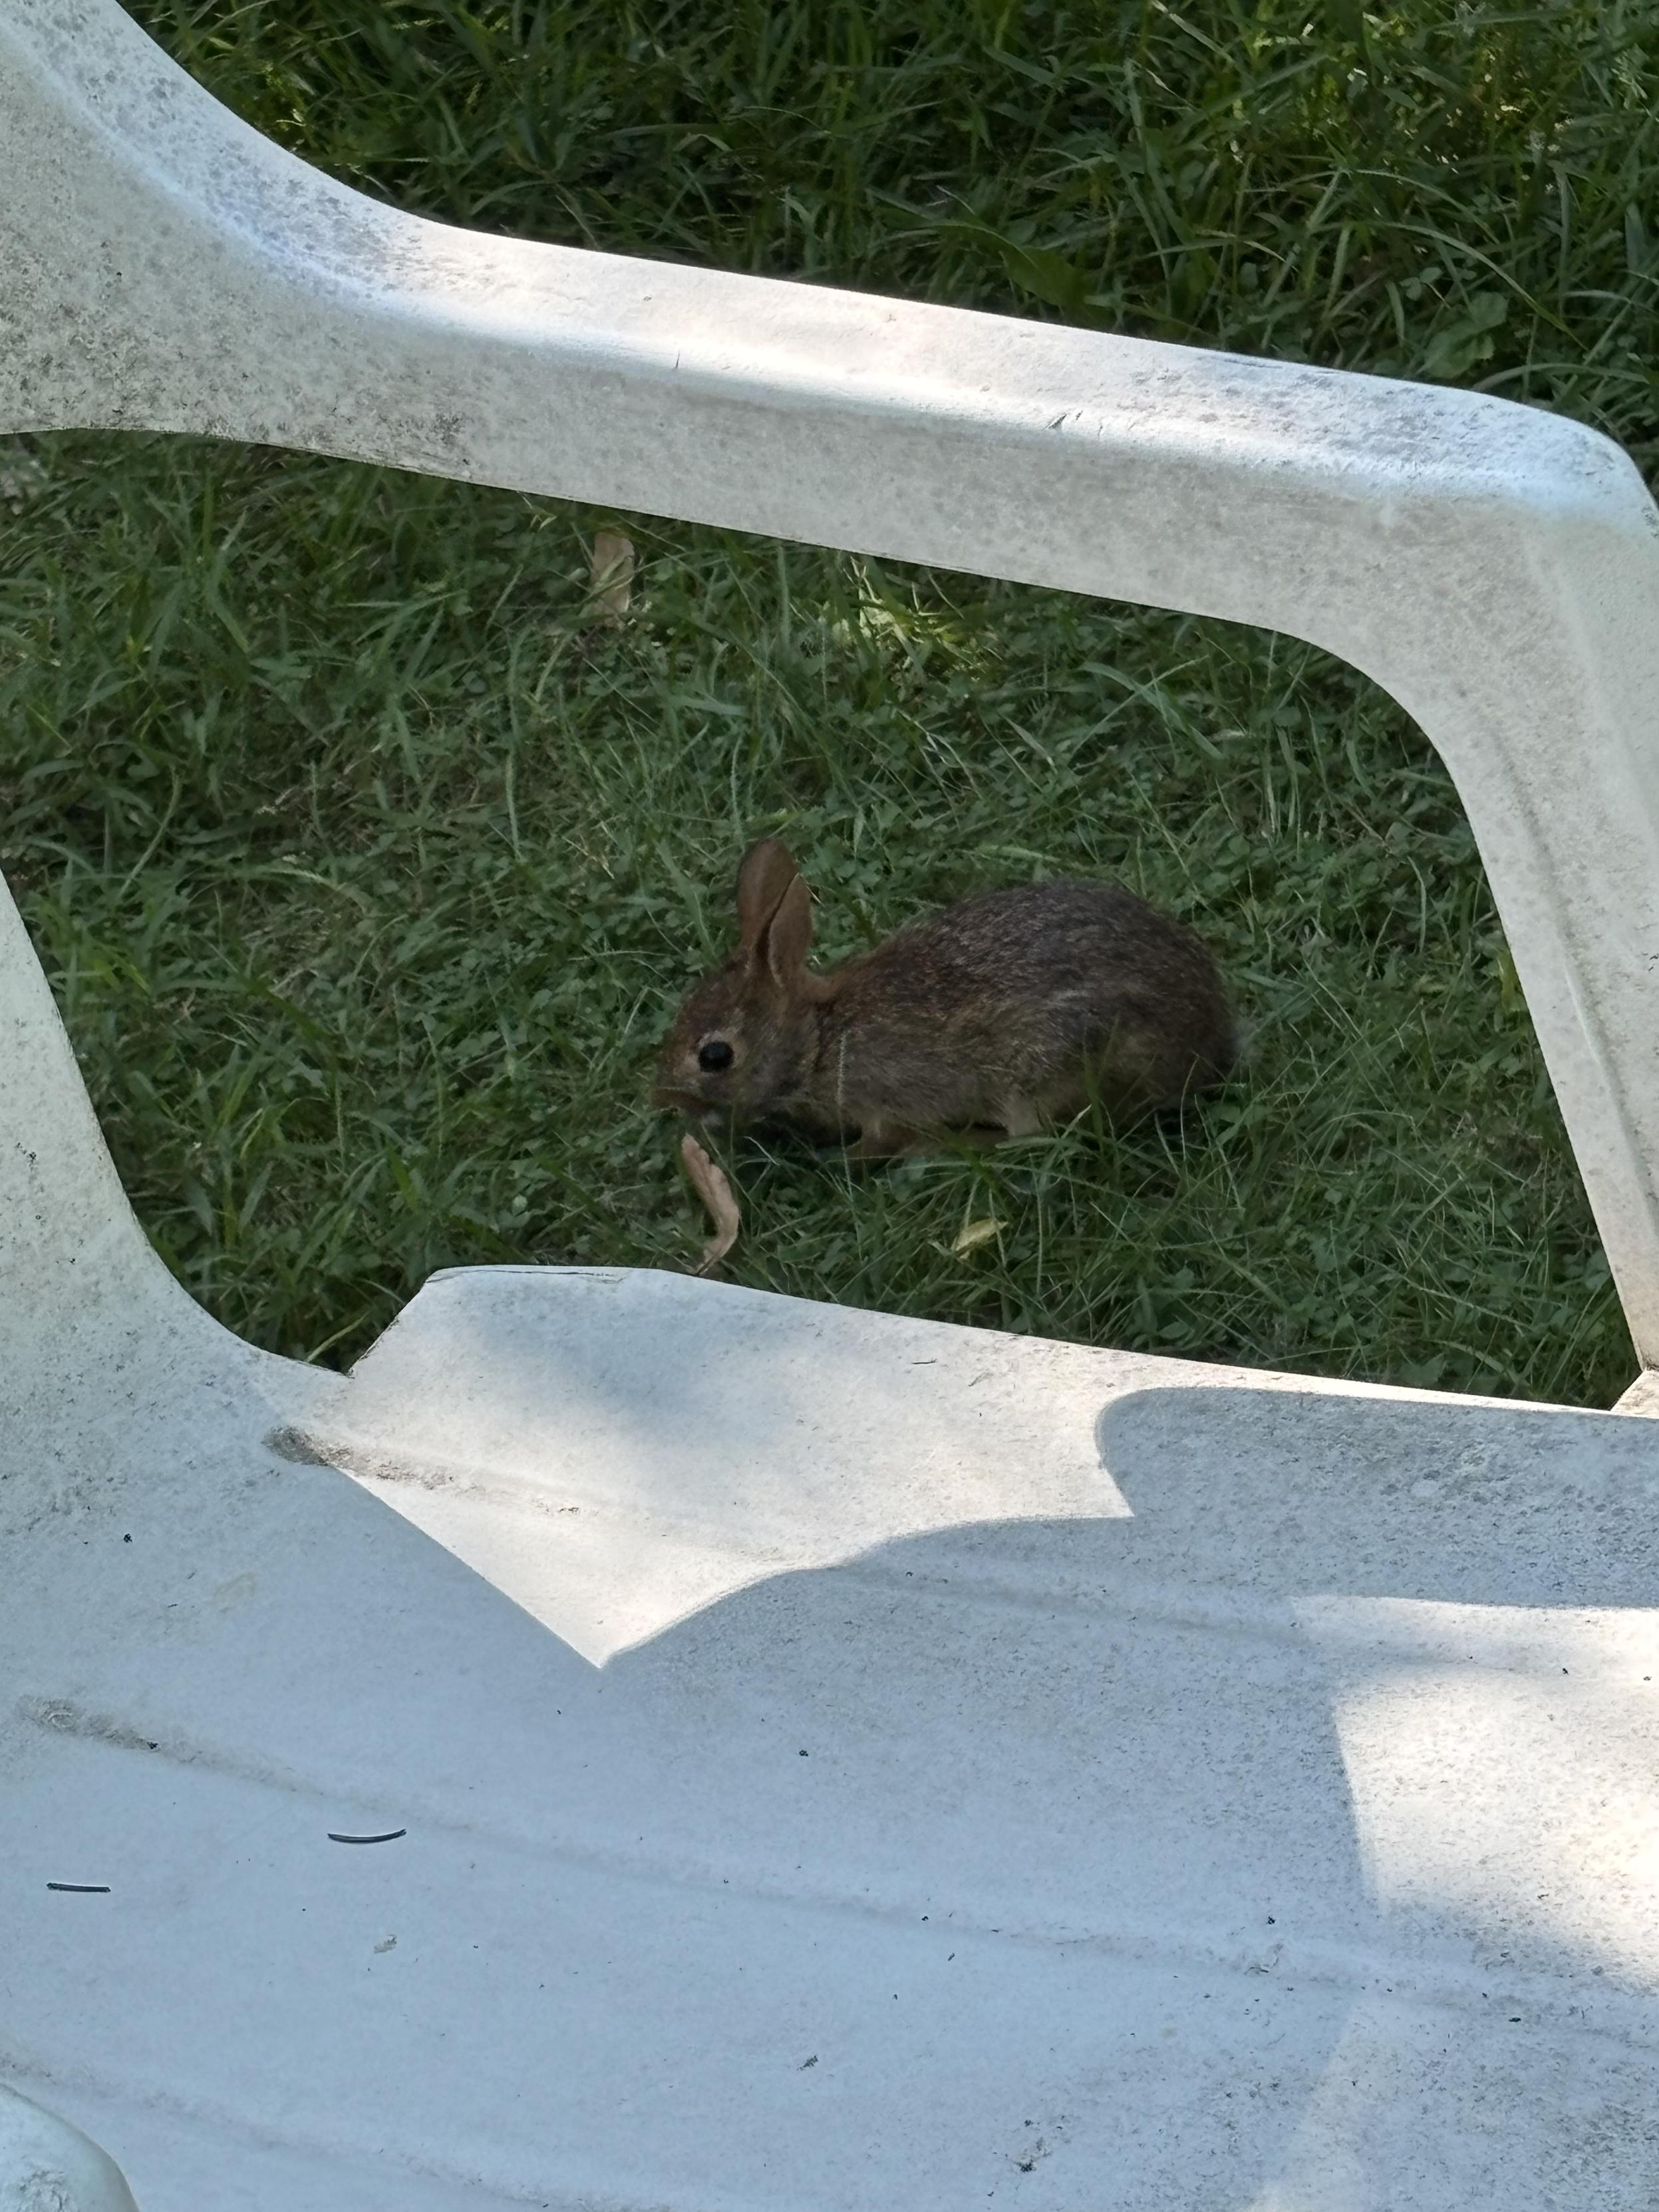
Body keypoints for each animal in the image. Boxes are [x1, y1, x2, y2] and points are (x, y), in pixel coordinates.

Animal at [654, 838, 1238, 1158]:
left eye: (715, 1056)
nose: (668, 1101)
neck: (820, 1038)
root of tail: (1209, 1044)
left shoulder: (882, 1103)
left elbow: (877, 1141)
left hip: (1052, 1064)